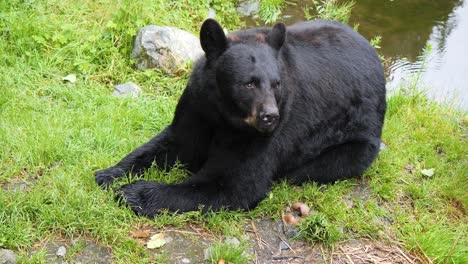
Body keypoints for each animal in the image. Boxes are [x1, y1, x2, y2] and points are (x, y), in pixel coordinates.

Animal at [95, 18, 384, 217]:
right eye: (248, 83)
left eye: (276, 84)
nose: (270, 117)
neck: (224, 113)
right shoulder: (198, 105)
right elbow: (174, 142)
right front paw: (109, 174)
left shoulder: (263, 135)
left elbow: (232, 184)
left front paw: (135, 192)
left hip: (357, 137)